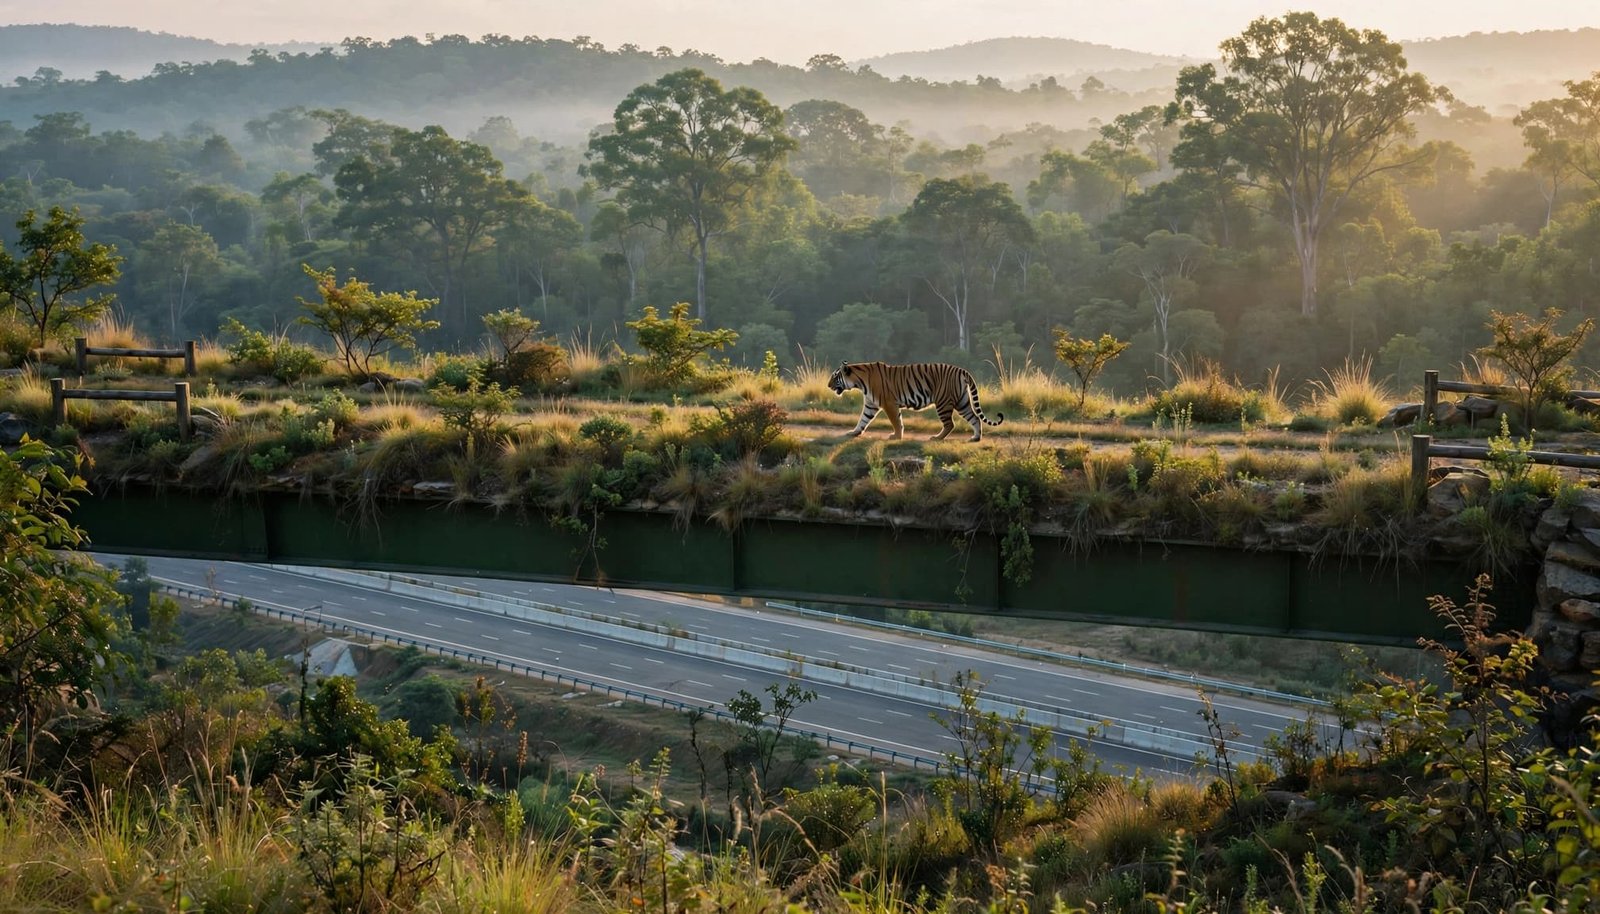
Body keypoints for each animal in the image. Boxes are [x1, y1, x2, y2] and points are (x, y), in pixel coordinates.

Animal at [828, 361, 1004, 442]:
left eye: (835, 377)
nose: (828, 385)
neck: (859, 381)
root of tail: (961, 370)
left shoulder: (888, 403)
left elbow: (896, 421)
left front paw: (896, 436)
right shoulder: (871, 405)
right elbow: (863, 420)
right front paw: (854, 432)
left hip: (943, 402)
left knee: (950, 424)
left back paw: (937, 438)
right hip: (962, 402)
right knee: (975, 418)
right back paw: (975, 438)